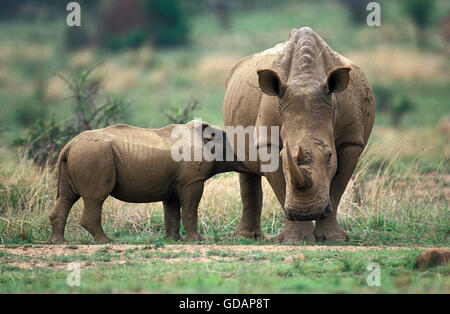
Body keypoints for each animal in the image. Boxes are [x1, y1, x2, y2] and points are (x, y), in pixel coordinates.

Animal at [48, 120, 250, 243]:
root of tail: (69, 145)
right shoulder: (192, 181)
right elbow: (190, 210)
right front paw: (197, 240)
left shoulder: (174, 184)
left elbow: (172, 212)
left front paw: (174, 240)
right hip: (94, 154)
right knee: (95, 198)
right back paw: (106, 241)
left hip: (81, 153)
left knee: (66, 196)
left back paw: (59, 242)